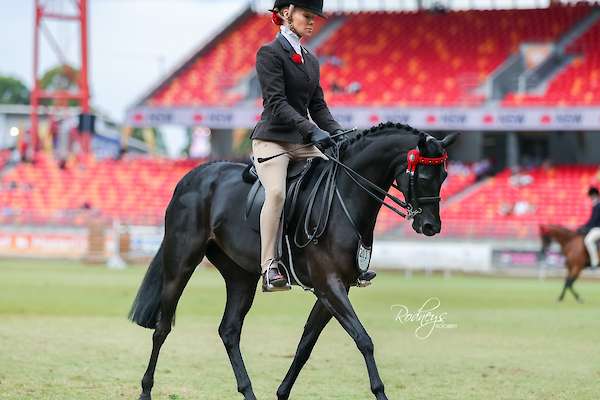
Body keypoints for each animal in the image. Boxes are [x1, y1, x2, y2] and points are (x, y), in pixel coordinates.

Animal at [131, 122, 458, 400]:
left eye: (444, 176)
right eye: (423, 176)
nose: (431, 226)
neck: (345, 196)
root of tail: (192, 177)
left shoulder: (334, 289)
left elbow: (305, 346)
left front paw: (281, 393)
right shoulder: (329, 286)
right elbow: (363, 339)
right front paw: (380, 392)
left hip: (241, 276)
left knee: (229, 330)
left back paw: (248, 392)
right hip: (181, 263)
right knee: (162, 328)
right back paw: (146, 390)